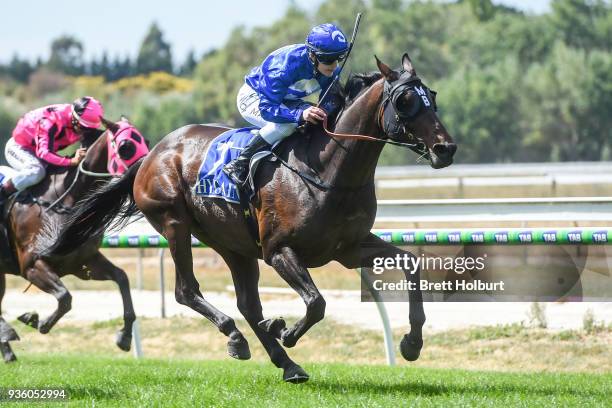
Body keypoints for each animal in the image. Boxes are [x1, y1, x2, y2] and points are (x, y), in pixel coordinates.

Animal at [0, 117, 148, 360]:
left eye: (146, 141)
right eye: (125, 146)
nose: (145, 174)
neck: (64, 199)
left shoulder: (82, 262)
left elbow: (122, 278)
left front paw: (125, 336)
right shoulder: (31, 265)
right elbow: (65, 297)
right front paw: (37, 321)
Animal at [44, 52, 454, 380]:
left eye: (431, 97)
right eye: (404, 101)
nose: (445, 148)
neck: (328, 171)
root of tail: (152, 154)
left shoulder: (349, 249)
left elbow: (411, 263)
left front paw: (412, 343)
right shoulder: (278, 250)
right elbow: (316, 303)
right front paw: (285, 330)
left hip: (232, 243)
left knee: (246, 303)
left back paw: (285, 362)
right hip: (175, 224)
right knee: (187, 291)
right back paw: (239, 337)